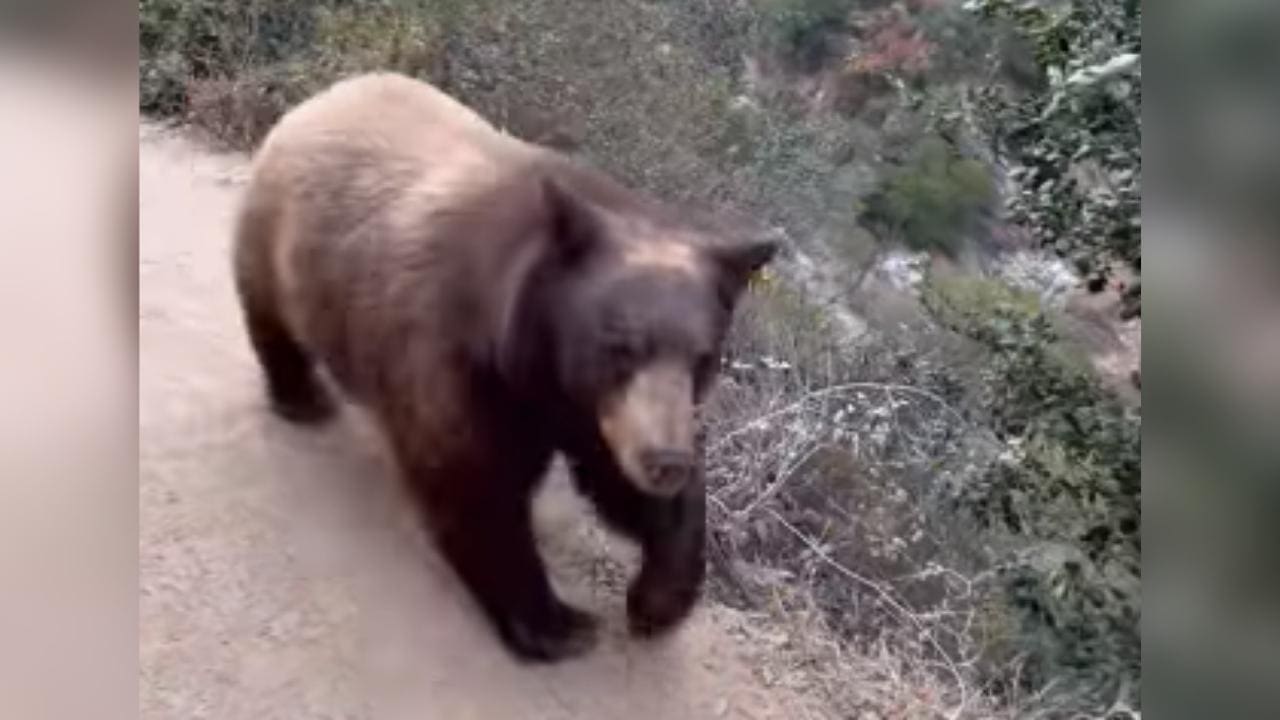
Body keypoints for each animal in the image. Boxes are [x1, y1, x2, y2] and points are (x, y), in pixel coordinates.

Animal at [231, 73, 773, 661]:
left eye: (705, 357)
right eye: (622, 344)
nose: (666, 461)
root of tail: (325, 96)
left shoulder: (589, 407)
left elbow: (615, 478)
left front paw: (657, 598)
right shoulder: (453, 356)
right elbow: (472, 480)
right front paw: (556, 621)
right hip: (274, 240)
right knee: (271, 321)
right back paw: (303, 399)